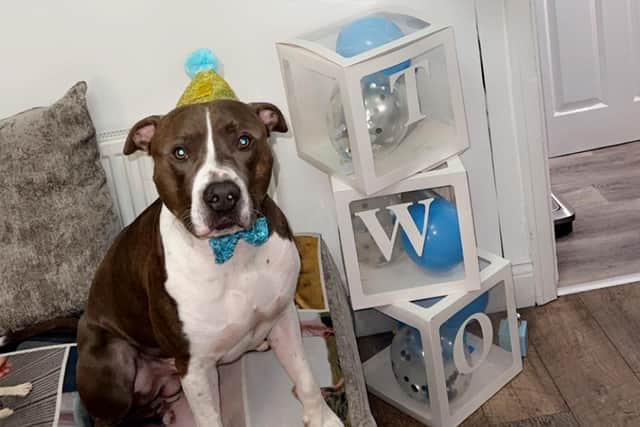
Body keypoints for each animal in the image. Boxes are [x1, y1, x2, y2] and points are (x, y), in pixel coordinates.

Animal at [75, 101, 342, 427]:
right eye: (180, 152)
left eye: (244, 140)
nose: (222, 196)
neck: (234, 251)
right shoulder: (195, 368)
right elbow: (210, 418)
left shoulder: (283, 318)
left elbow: (305, 378)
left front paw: (323, 419)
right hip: (113, 363)